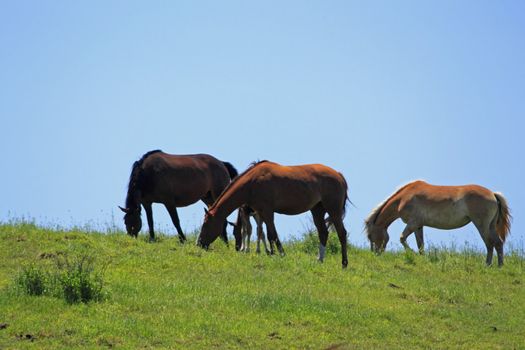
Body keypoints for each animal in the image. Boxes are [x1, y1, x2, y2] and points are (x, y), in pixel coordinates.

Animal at [194, 161, 350, 268]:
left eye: (205, 224)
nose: (199, 243)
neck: (253, 182)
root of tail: (338, 175)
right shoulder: (261, 213)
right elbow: (267, 234)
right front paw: (272, 253)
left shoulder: (267, 211)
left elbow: (272, 234)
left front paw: (280, 254)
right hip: (317, 210)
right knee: (323, 233)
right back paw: (319, 259)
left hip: (334, 210)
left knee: (342, 233)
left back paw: (344, 263)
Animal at [364, 180, 508, 266]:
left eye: (370, 236)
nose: (374, 254)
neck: (404, 197)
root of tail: (492, 194)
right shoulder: (418, 226)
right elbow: (420, 245)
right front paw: (422, 258)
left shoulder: (412, 223)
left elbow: (402, 238)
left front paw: (412, 254)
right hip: (491, 226)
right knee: (498, 243)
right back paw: (498, 266)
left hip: (481, 225)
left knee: (490, 244)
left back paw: (489, 265)